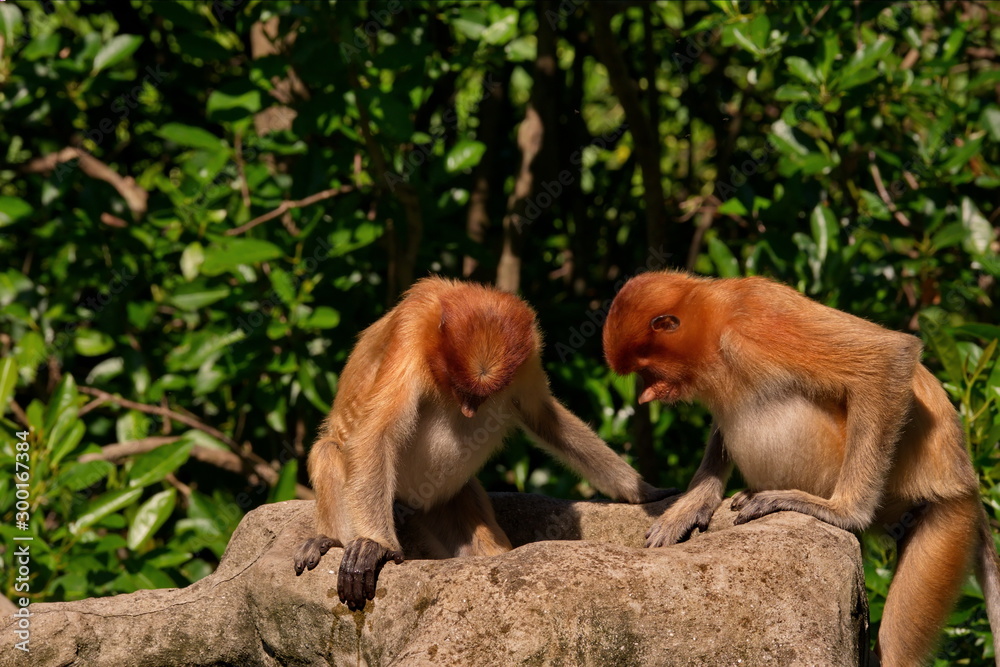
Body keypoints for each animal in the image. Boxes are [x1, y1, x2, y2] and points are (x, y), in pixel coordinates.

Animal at [293, 276, 671, 611]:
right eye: (459, 387)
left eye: (483, 394)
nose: (469, 409)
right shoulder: (410, 331)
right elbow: (377, 433)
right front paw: (375, 546)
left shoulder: (528, 355)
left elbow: (543, 416)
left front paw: (644, 490)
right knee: (328, 450)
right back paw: (326, 540)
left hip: (447, 502)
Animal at [601, 270, 1000, 667]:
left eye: (645, 369)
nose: (644, 397)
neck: (715, 320)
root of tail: (966, 484)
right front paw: (689, 506)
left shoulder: (759, 319)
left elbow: (889, 357)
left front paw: (842, 512)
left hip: (940, 519)